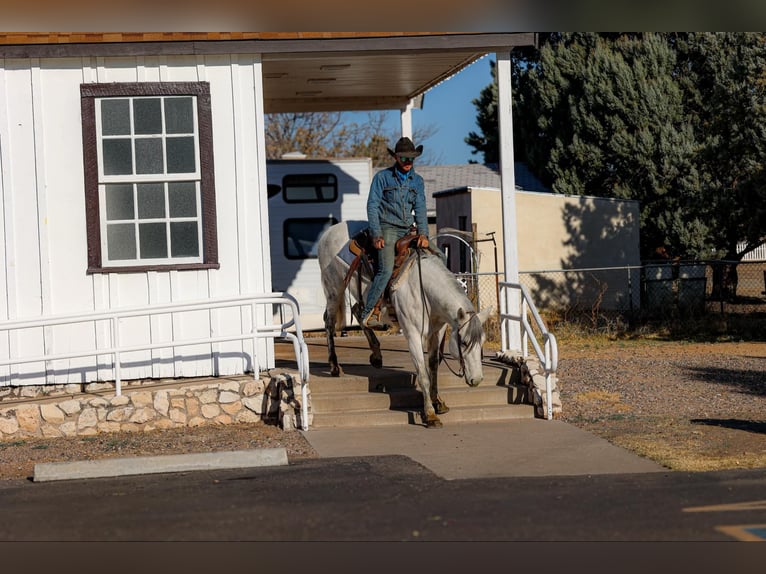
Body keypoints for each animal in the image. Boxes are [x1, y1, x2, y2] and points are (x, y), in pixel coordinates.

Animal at [316, 223, 492, 430]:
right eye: (463, 343)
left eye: (482, 342)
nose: (477, 380)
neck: (425, 289)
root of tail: (328, 232)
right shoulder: (412, 334)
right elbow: (422, 373)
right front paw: (430, 415)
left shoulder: (437, 332)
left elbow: (433, 366)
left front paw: (438, 402)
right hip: (334, 289)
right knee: (329, 321)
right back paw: (335, 366)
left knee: (359, 311)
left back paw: (376, 355)